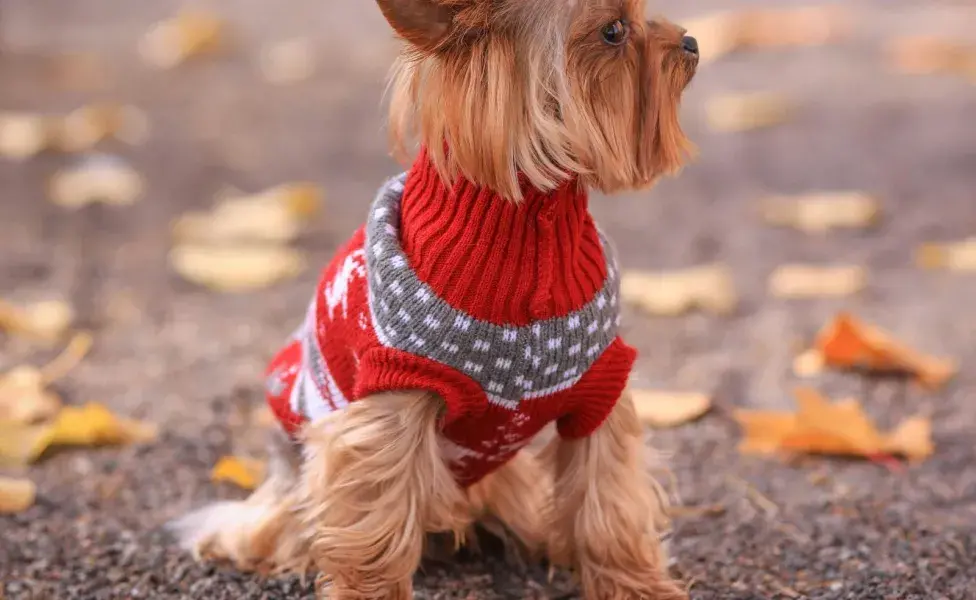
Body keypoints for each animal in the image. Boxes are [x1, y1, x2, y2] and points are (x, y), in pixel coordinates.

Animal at [172, 2, 696, 596]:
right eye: (613, 31)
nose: (692, 43)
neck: (526, 229)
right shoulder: (394, 395)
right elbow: (376, 513)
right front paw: (367, 592)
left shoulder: (599, 385)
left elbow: (609, 497)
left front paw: (638, 585)